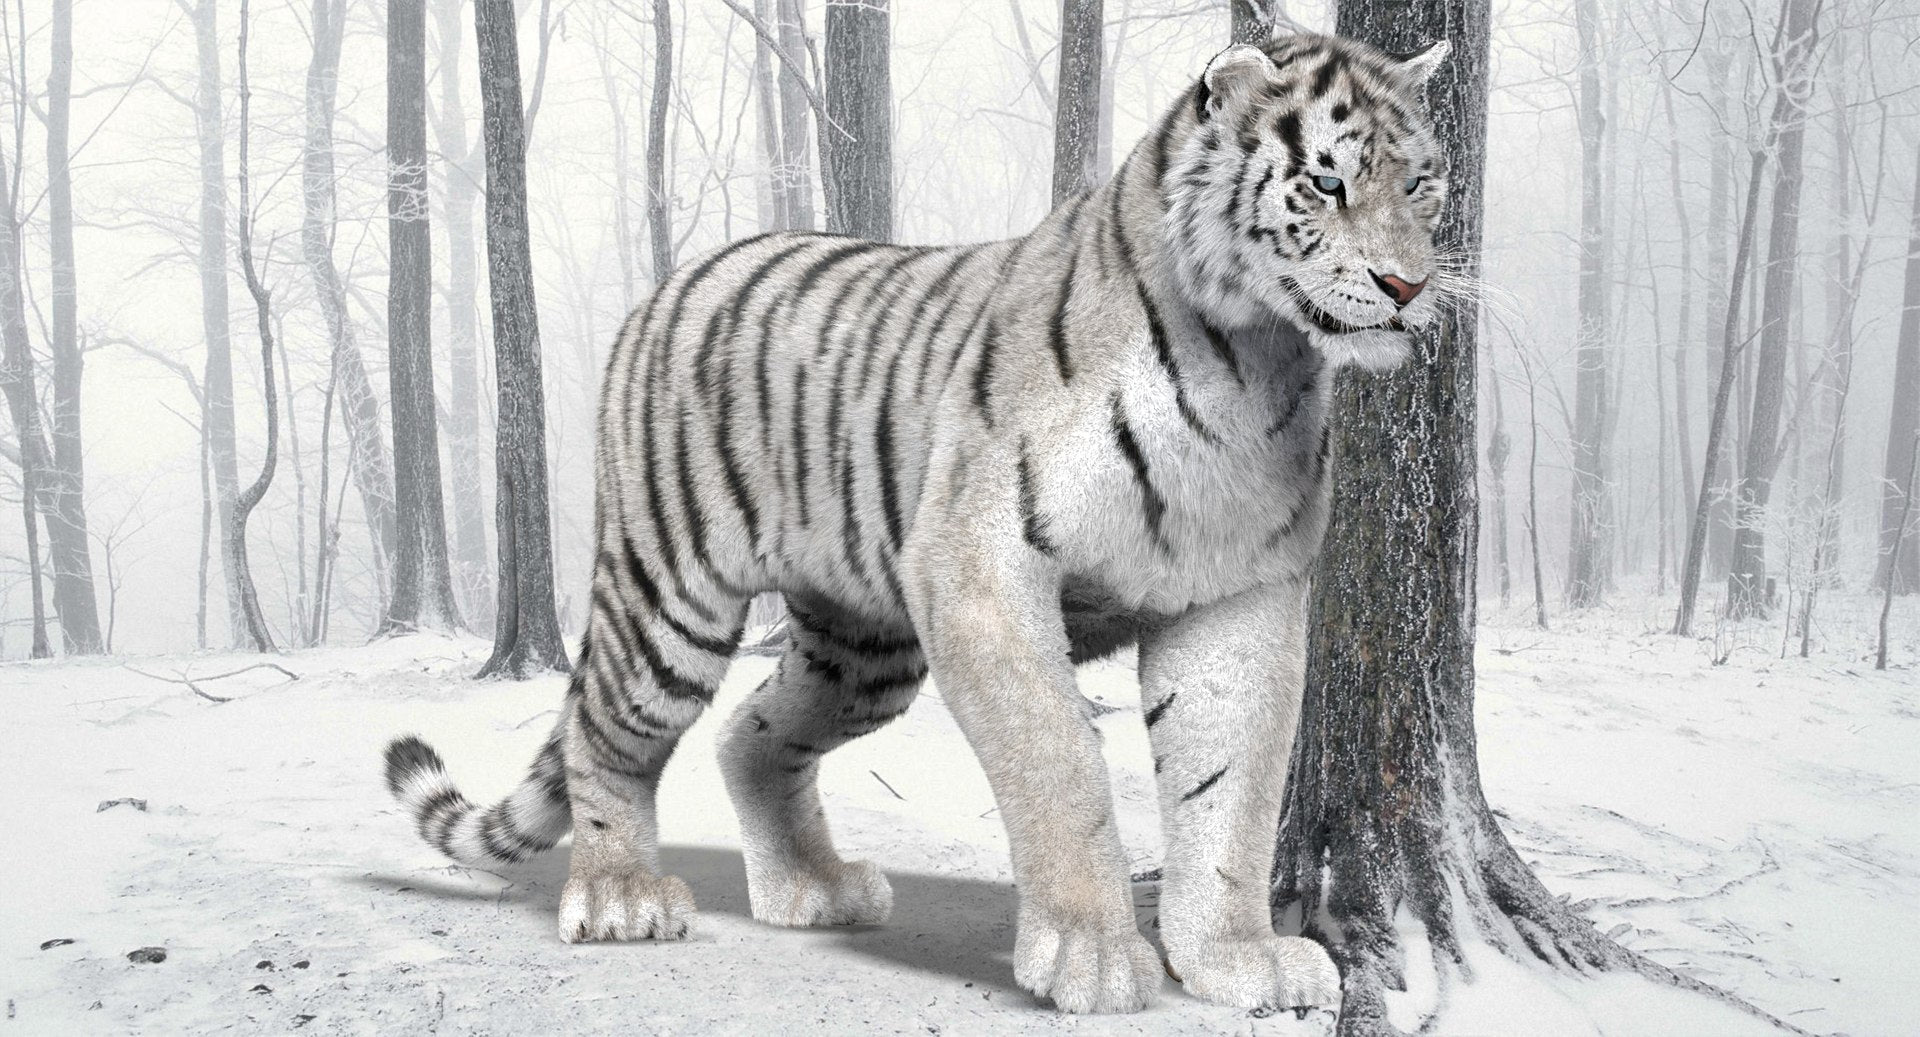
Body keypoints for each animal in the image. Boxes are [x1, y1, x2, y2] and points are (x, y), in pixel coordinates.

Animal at [383, 33, 1452, 1015]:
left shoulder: (1239, 593)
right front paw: (1095, 955)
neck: (1252, 359)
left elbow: (1231, 788)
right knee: (607, 733)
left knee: (751, 733)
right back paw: (619, 899)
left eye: (1423, 185)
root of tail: (667, 285)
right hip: (668, 595)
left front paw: (1239, 958)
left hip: (863, 649)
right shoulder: (983, 571)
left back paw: (812, 888)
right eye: (1326, 181)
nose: (1407, 287)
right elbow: (1060, 764)